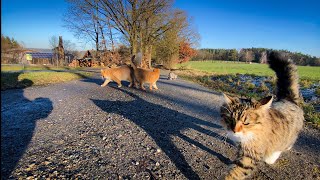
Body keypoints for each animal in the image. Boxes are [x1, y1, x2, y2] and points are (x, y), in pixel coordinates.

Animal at [221, 51, 304, 179]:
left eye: (246, 123)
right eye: (230, 119)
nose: (234, 131)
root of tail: (288, 99)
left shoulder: (250, 156)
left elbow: (235, 173)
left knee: (285, 145)